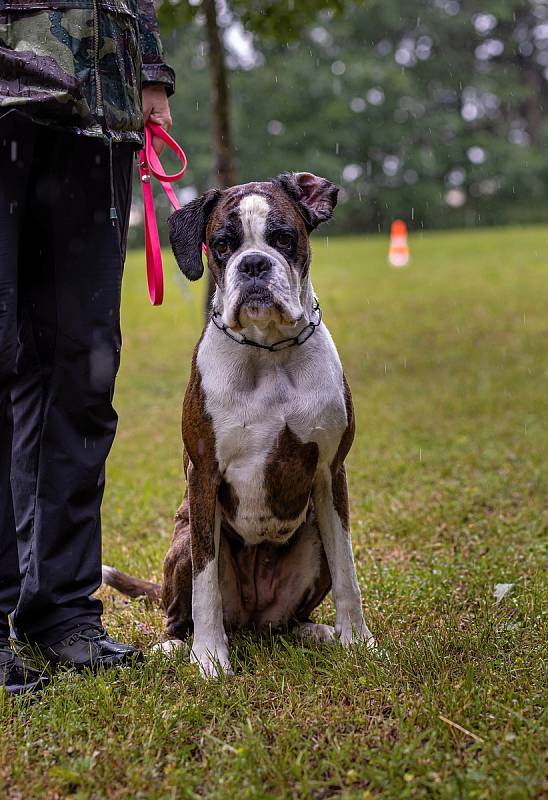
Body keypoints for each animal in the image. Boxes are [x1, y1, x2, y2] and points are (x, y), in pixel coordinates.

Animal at [103, 173, 374, 676]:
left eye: (283, 238)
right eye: (222, 244)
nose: (252, 264)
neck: (270, 352)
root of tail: (252, 620)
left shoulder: (331, 473)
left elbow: (348, 571)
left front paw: (361, 643)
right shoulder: (204, 475)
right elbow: (205, 584)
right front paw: (210, 658)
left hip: (311, 537)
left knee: (293, 615)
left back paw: (314, 631)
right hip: (183, 538)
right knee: (180, 609)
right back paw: (177, 644)